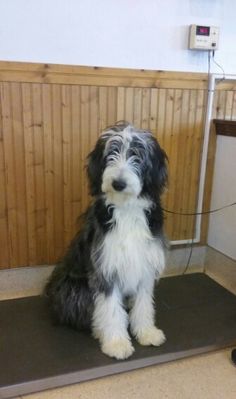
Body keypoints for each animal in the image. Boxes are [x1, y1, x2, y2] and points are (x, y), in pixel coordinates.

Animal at [45, 121, 168, 360]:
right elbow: (111, 309)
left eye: (137, 154)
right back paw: (98, 329)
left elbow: (143, 304)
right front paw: (116, 343)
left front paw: (146, 332)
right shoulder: (105, 269)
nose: (118, 183)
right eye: (111, 152)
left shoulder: (145, 264)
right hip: (73, 287)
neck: (127, 209)